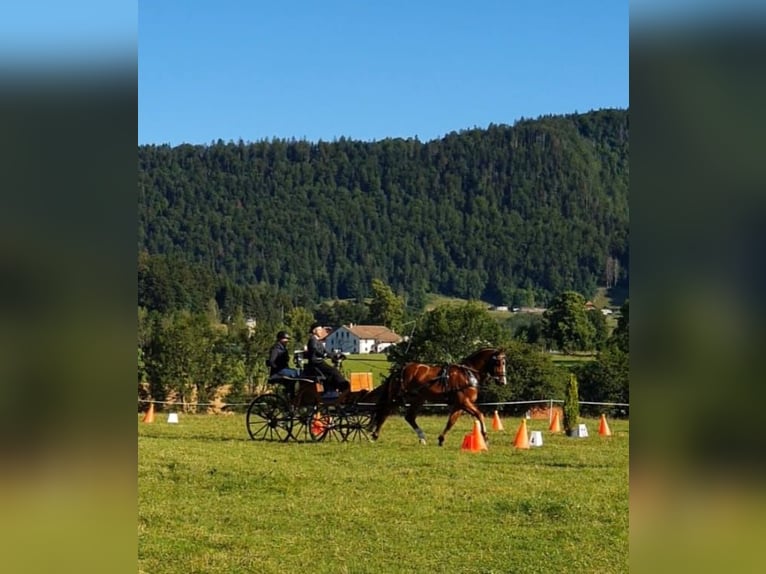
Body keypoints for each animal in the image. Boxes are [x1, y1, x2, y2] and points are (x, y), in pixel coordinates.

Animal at [370, 348, 508, 448]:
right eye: (498, 362)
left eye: (504, 362)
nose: (503, 382)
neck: (468, 374)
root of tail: (400, 370)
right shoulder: (464, 402)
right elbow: (480, 415)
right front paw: (486, 438)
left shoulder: (459, 405)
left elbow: (451, 422)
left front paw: (441, 439)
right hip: (397, 397)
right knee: (385, 412)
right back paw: (375, 435)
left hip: (418, 399)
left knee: (409, 417)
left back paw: (422, 437)